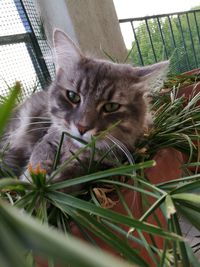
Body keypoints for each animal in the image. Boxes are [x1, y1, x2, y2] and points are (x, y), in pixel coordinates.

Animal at [0, 29, 169, 184]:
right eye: (73, 96)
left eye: (111, 106)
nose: (82, 128)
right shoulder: (49, 139)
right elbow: (37, 162)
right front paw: (35, 184)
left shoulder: (95, 164)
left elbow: (72, 174)